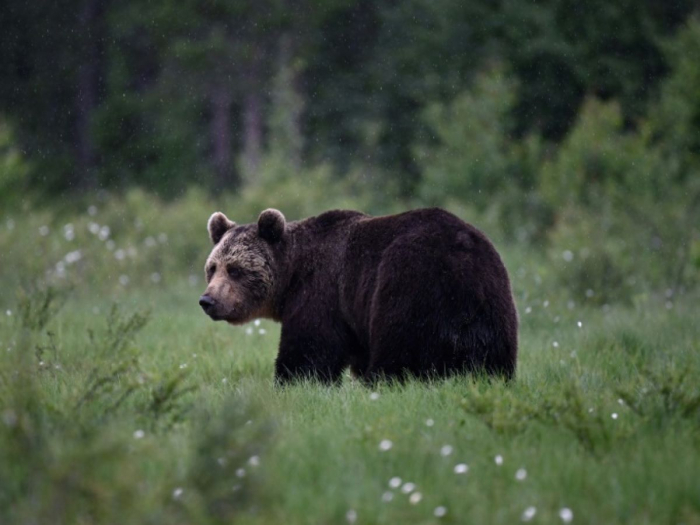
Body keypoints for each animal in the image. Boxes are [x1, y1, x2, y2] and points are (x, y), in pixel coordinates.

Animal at [200, 207, 516, 382]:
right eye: (212, 268)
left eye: (235, 270)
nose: (208, 301)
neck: (292, 276)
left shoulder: (323, 292)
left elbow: (308, 349)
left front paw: (292, 381)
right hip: (490, 297)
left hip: (409, 280)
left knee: (400, 344)